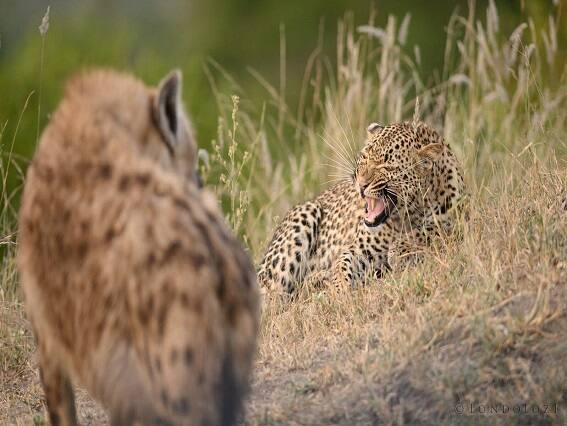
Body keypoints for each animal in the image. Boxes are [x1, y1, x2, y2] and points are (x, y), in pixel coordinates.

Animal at [16, 69, 260, 426]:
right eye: (191, 155)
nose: (200, 182)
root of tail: (218, 261)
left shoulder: (46, 328)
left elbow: (61, 409)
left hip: (176, 377)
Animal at [258, 119, 466, 292]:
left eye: (386, 166)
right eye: (364, 157)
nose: (361, 183)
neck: (406, 217)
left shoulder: (460, 220)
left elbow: (433, 230)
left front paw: (401, 249)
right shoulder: (359, 248)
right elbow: (342, 264)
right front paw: (340, 289)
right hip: (304, 215)